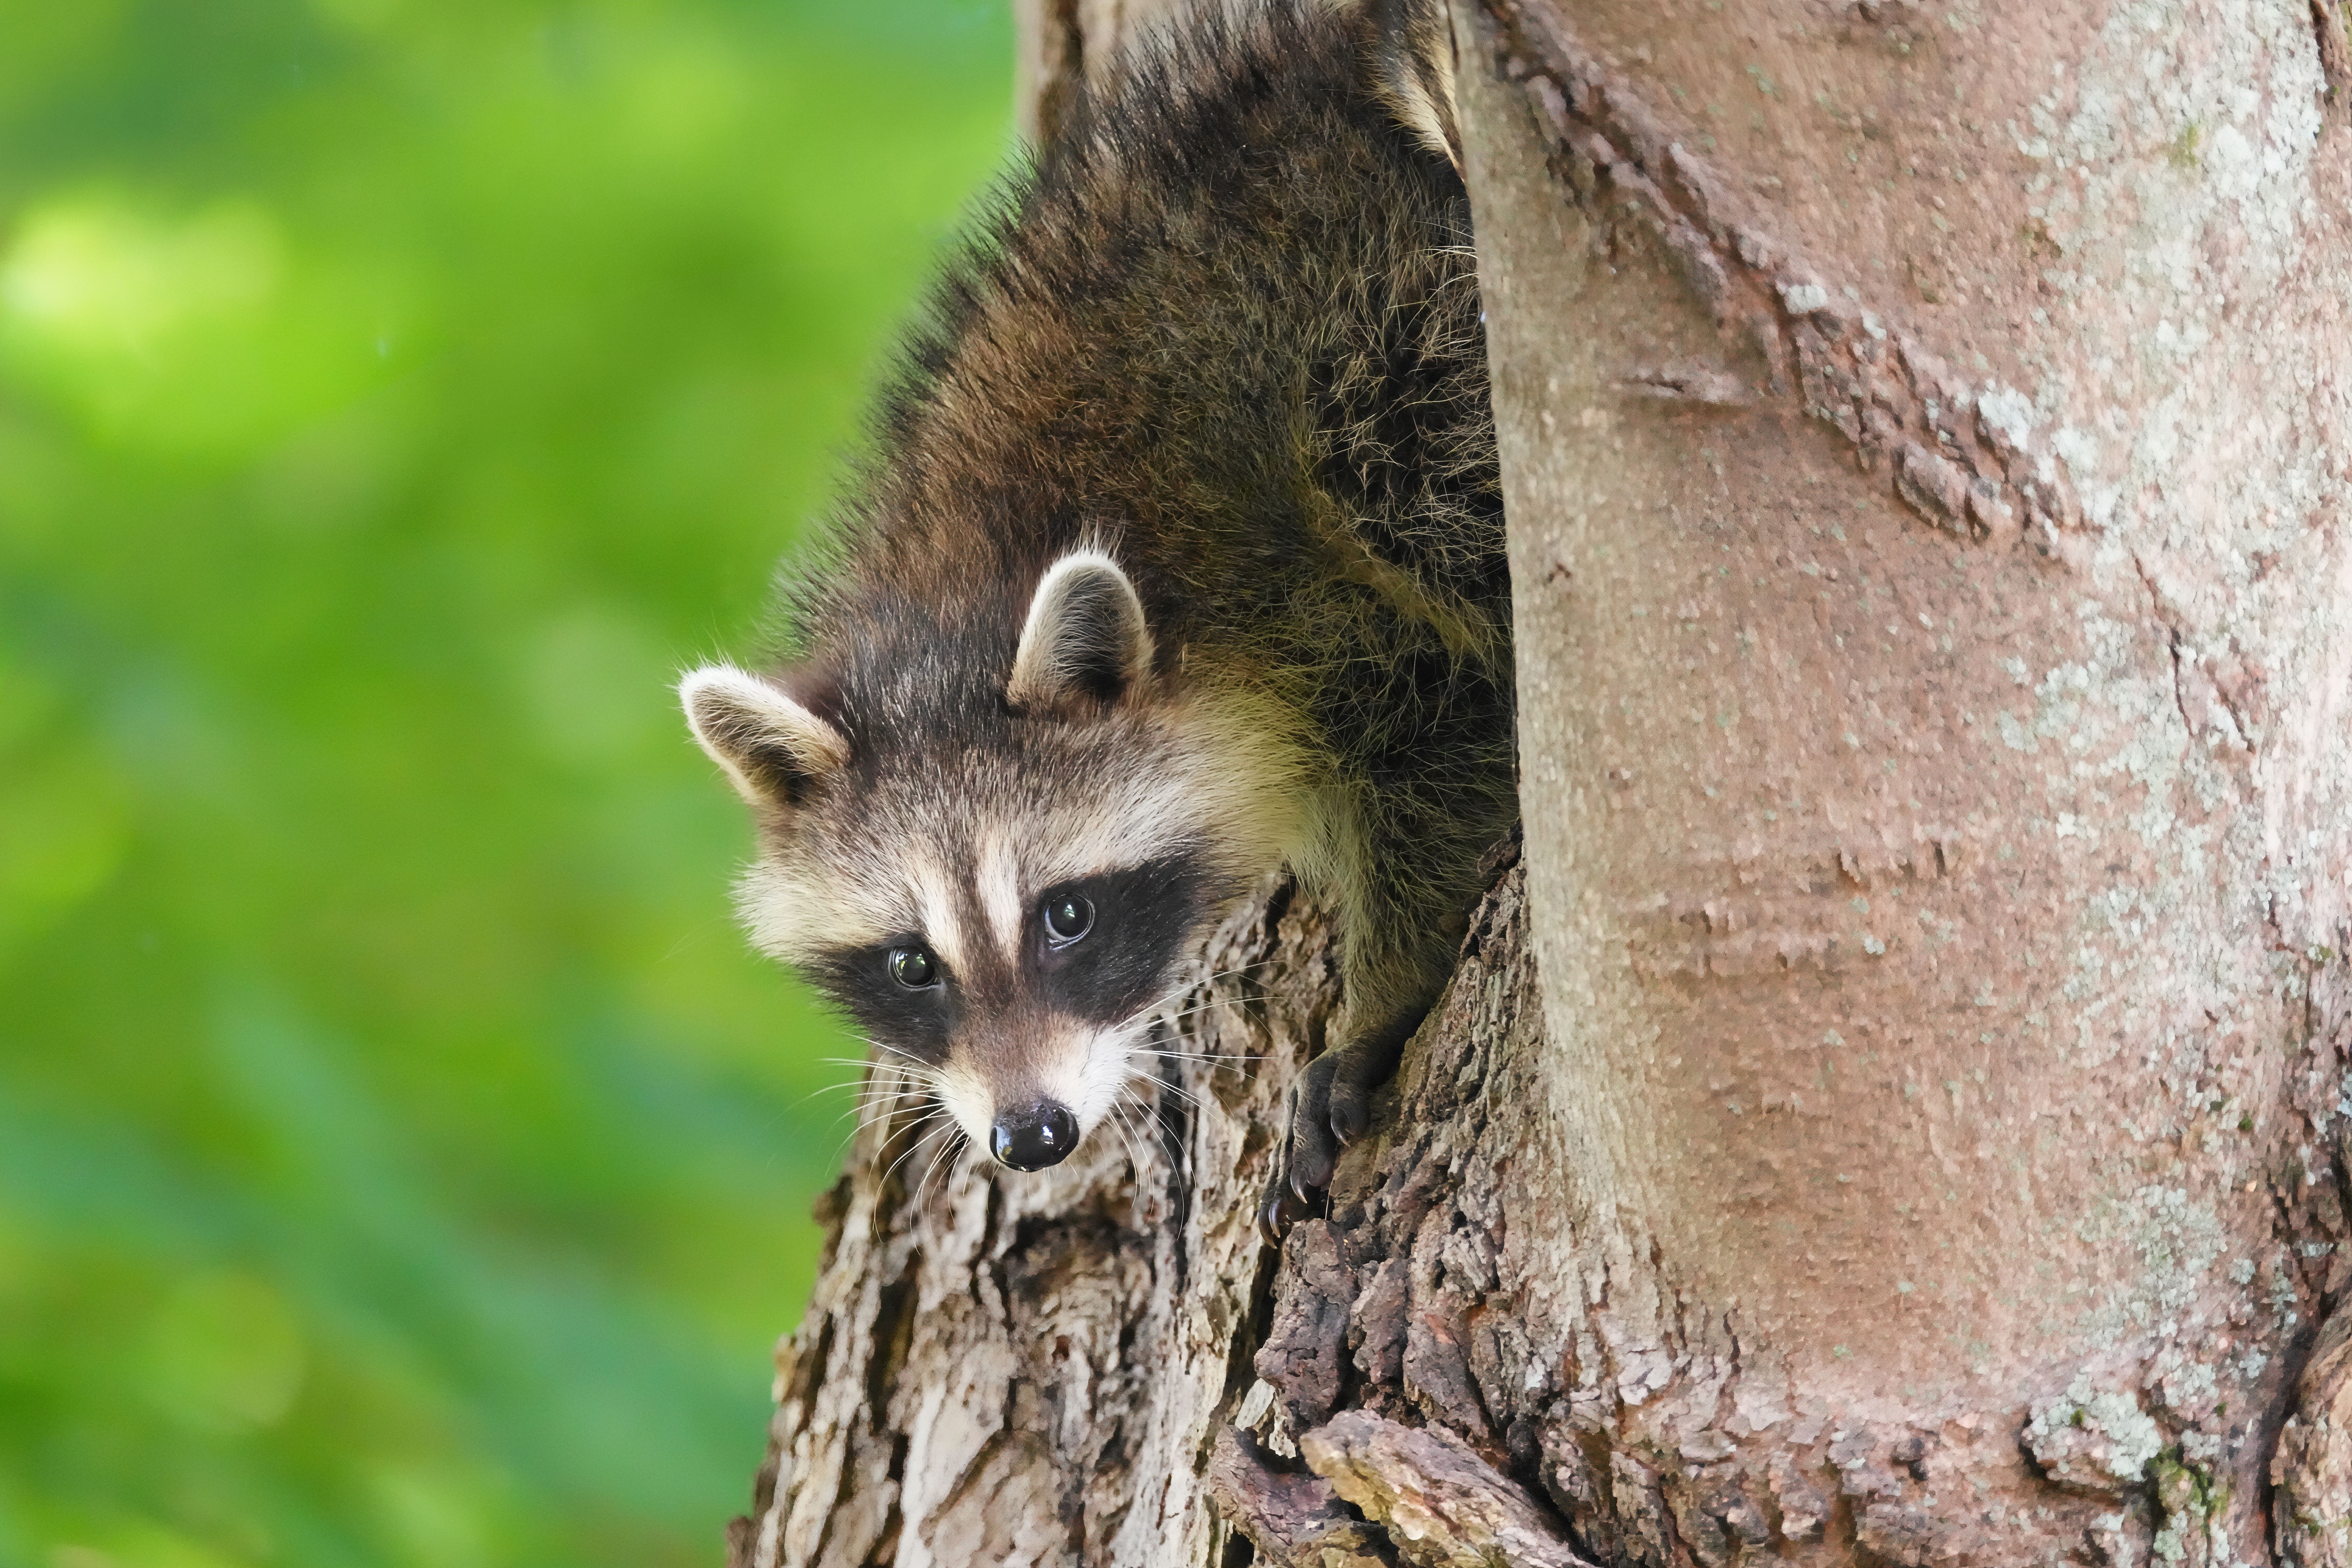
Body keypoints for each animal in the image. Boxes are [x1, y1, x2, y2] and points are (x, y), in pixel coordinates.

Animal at [678, 0, 1513, 1235]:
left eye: (1065, 915)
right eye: (911, 964)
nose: (1031, 1135)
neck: (963, 579)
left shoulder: (1304, 569)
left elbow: (1445, 735)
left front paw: (1384, 998)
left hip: (1389, 340)